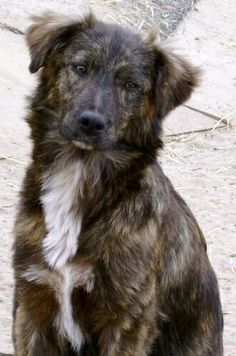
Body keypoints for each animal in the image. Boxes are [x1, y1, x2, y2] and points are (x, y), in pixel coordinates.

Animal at [12, 11, 223, 356]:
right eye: (80, 68)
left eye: (131, 85)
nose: (91, 122)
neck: (80, 174)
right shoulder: (33, 300)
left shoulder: (127, 319)